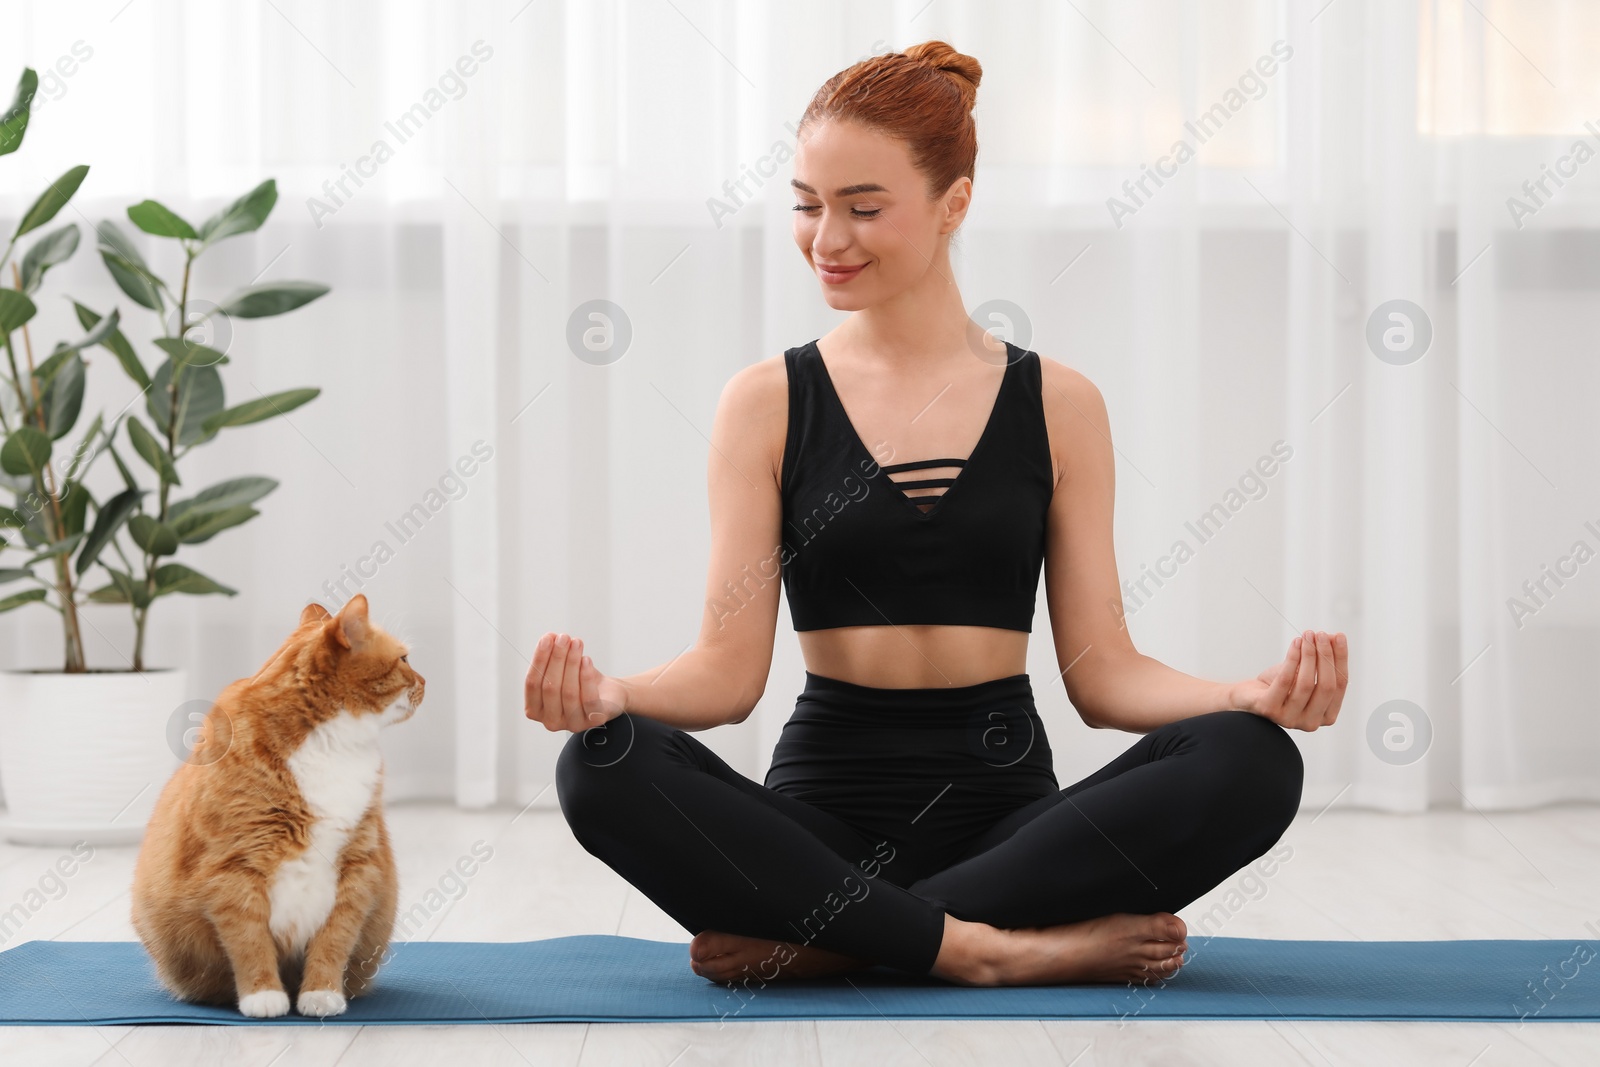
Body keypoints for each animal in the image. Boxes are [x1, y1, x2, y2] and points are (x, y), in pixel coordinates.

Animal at [130, 591, 422, 1017]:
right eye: (404, 660)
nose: (425, 682)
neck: (329, 746)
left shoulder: (358, 867)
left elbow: (333, 941)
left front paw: (321, 993)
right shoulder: (233, 870)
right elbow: (250, 943)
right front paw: (263, 995)